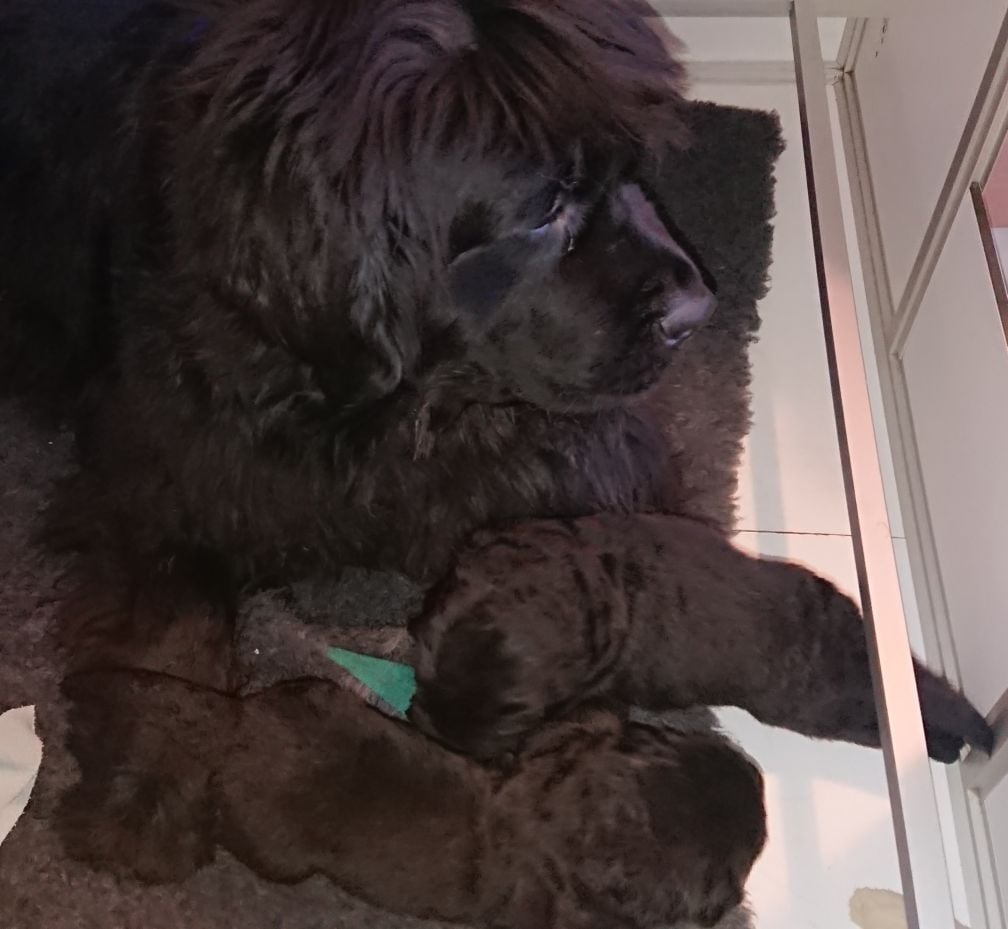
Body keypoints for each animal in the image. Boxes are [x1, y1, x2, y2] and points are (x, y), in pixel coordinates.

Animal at [57, 669, 766, 929]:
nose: (758, 778)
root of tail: (236, 723)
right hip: (277, 852)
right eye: (745, 851)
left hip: (311, 691)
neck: (564, 813)